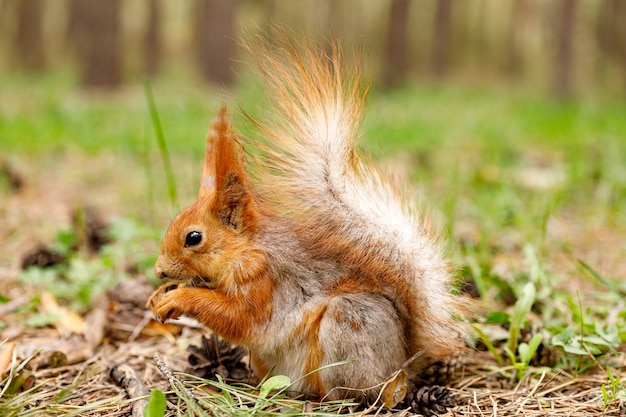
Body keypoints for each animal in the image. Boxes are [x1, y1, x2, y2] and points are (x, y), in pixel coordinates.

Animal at [149, 36, 466, 404]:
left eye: (194, 238)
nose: (159, 271)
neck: (245, 249)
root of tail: (403, 361)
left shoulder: (265, 280)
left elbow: (238, 318)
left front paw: (178, 299)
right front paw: (158, 297)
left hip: (347, 325)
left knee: (359, 390)